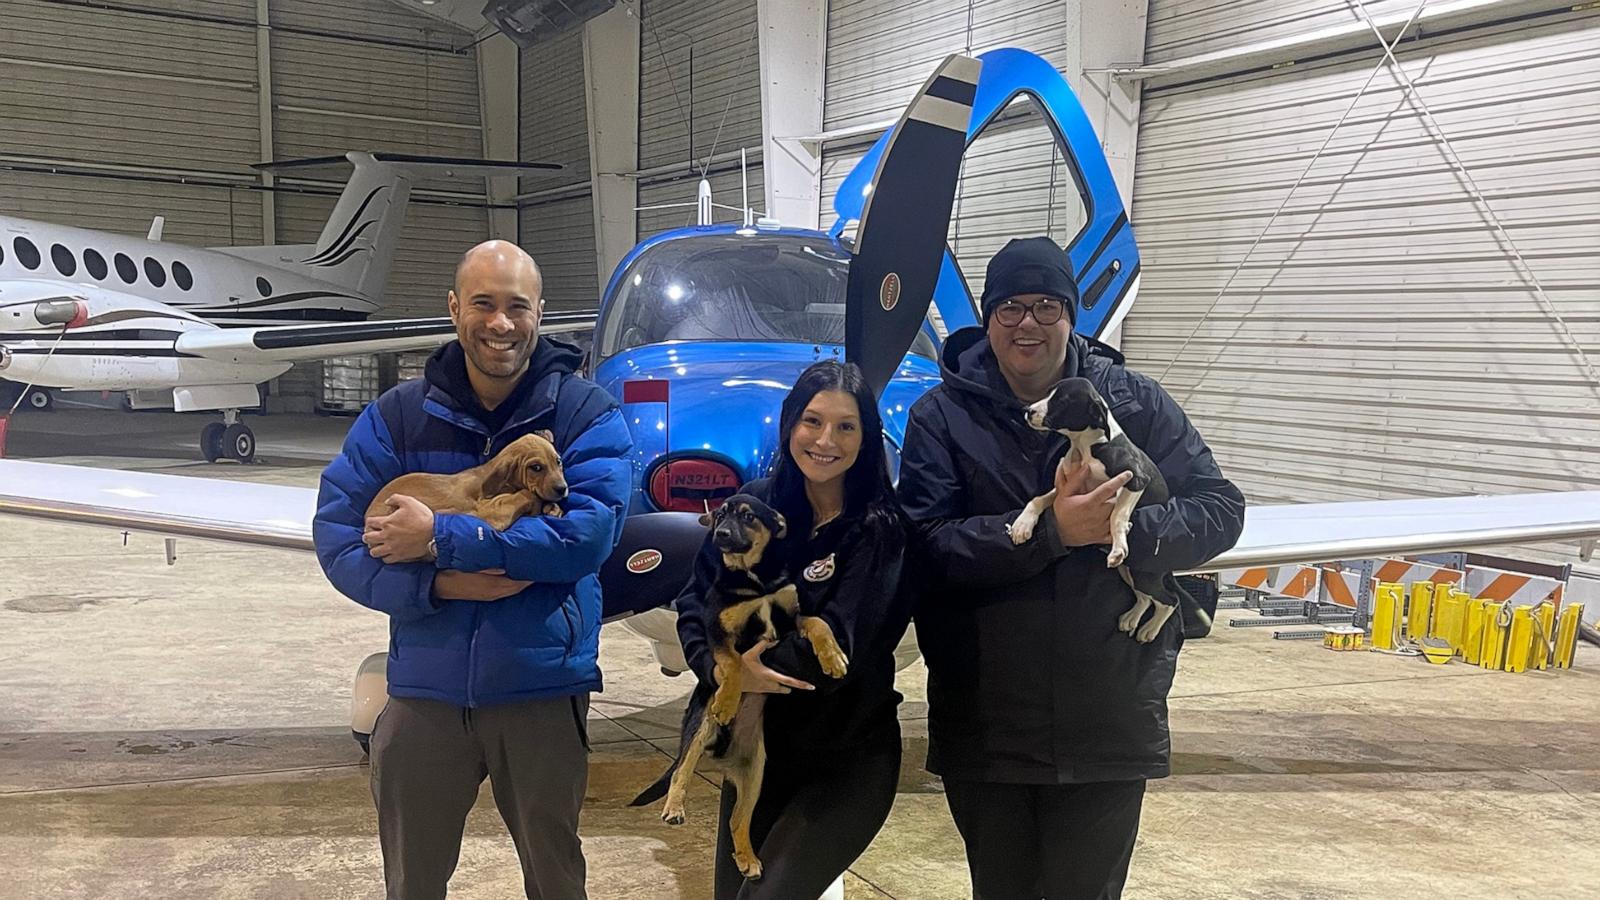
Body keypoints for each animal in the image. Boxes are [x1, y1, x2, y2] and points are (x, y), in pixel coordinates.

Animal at [627, 490, 851, 877]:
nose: (720, 535)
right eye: (719, 517)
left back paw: (747, 858)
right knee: (681, 768)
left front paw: (833, 657)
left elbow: (818, 622)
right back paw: (674, 808)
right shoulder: (719, 630)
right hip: (699, 727)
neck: (754, 579)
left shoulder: (792, 616)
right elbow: (732, 663)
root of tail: (722, 755)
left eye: (748, 517)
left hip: (755, 772)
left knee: (737, 820)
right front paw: (728, 701)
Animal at [1004, 374, 1184, 640]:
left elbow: (1117, 514)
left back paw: (1150, 629)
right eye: (1047, 393)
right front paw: (1021, 526)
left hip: (1144, 573)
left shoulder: (1136, 479)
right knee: (1146, 598)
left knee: (1168, 600)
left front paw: (1119, 543)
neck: (1087, 446)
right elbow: (1038, 499)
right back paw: (1131, 619)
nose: (1027, 411)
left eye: (1062, 401)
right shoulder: (1067, 490)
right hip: (1129, 572)